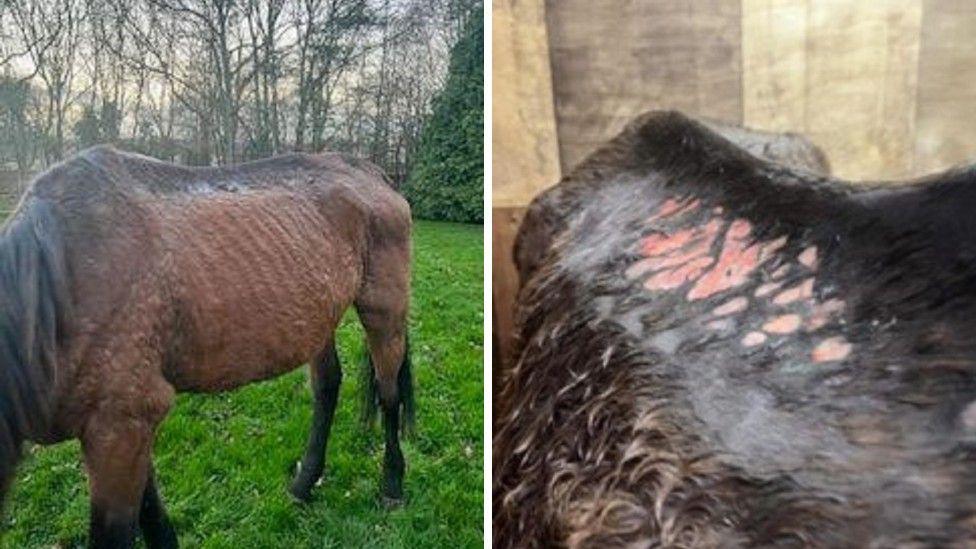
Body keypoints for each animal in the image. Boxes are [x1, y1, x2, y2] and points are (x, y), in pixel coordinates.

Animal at [0, 147, 414, 548]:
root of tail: (371, 172)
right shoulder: (123, 428)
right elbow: (154, 516)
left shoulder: (121, 422)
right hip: (317, 317)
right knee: (327, 386)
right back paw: (304, 483)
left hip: (384, 311)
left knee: (388, 392)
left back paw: (392, 484)